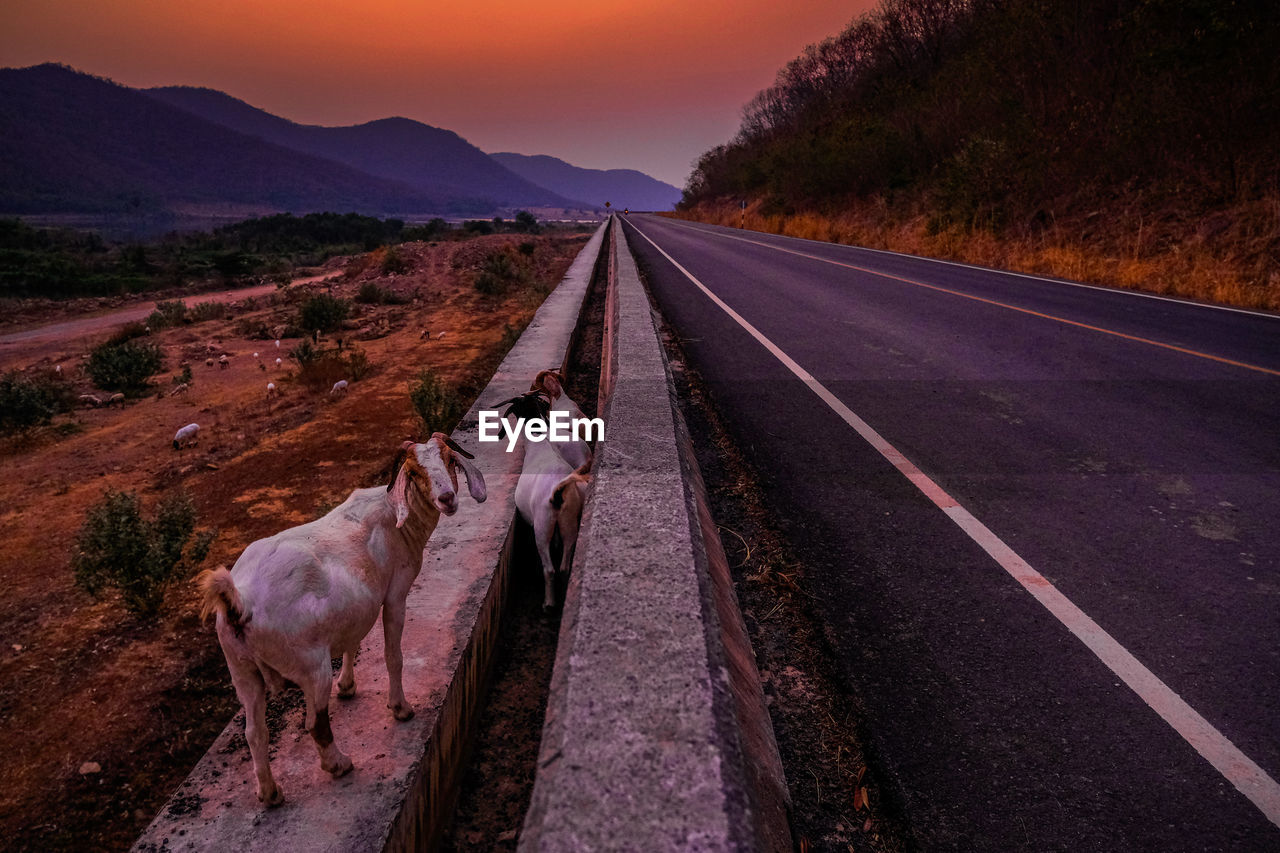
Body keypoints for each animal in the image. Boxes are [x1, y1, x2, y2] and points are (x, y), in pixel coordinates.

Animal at [194, 435, 483, 799]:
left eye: (449, 459)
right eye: (414, 472)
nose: (447, 498)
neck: (396, 514)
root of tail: (240, 601)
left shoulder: (358, 605)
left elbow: (352, 640)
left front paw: (347, 685)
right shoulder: (395, 594)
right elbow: (393, 656)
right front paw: (400, 708)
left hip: (241, 671)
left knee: (255, 732)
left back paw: (270, 793)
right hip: (310, 665)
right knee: (315, 723)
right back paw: (339, 764)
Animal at [491, 391, 591, 612]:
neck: (540, 443)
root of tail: (558, 491)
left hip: (542, 526)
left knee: (550, 569)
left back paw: (548, 603)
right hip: (568, 524)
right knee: (564, 567)